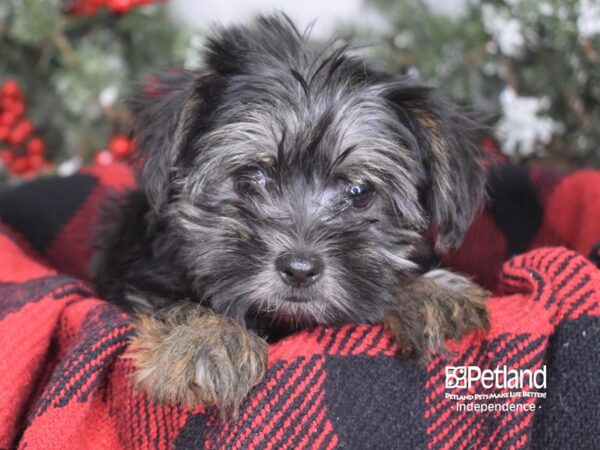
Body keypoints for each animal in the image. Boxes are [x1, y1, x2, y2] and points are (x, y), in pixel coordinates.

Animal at [92, 14, 488, 414]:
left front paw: (427, 293)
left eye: (358, 191)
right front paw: (206, 338)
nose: (300, 269)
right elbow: (172, 302)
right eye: (253, 177)